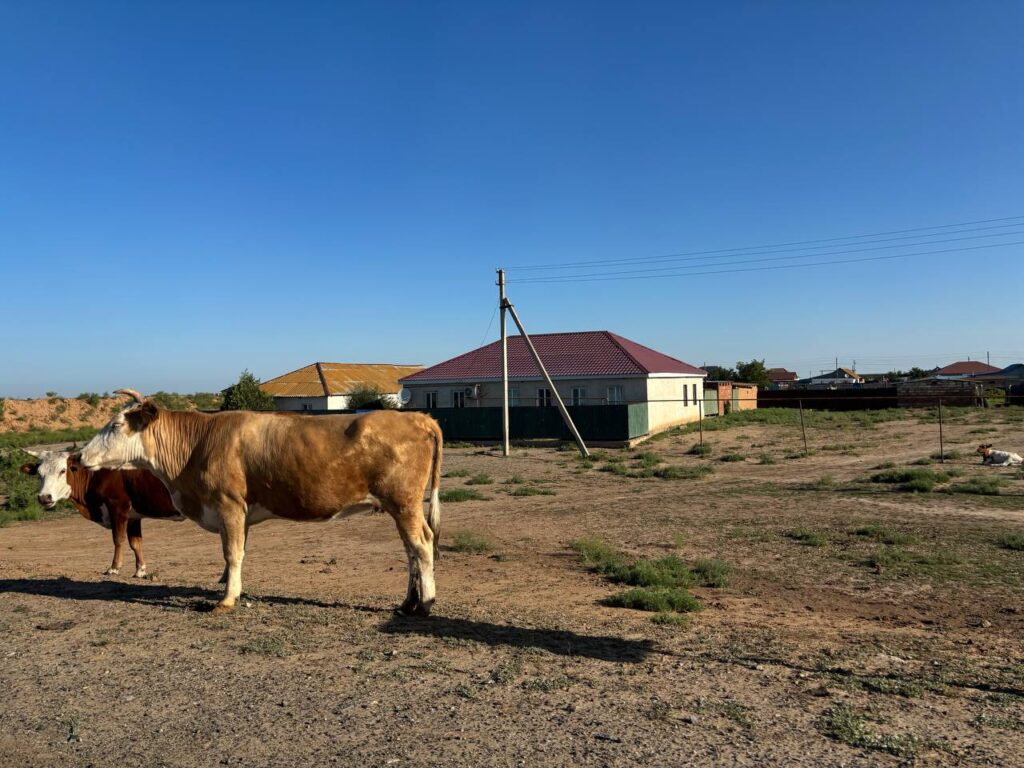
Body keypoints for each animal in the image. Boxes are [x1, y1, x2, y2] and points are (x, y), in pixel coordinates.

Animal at [20, 450, 183, 577]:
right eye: (39, 474)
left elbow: (118, 539)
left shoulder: (117, 507)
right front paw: (140, 570)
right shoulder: (133, 517)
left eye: (62, 470)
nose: (44, 497)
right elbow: (136, 543)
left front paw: (114, 568)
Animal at [80, 389, 443, 616]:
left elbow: (231, 554)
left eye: (115, 425)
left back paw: (425, 603)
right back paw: (408, 603)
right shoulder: (240, 513)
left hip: (404, 503)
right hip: (399, 507)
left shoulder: (228, 505)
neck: (197, 445)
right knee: (411, 550)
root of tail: (420, 418)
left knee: (422, 545)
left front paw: (226, 600)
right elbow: (237, 554)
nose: (81, 455)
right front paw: (233, 590)